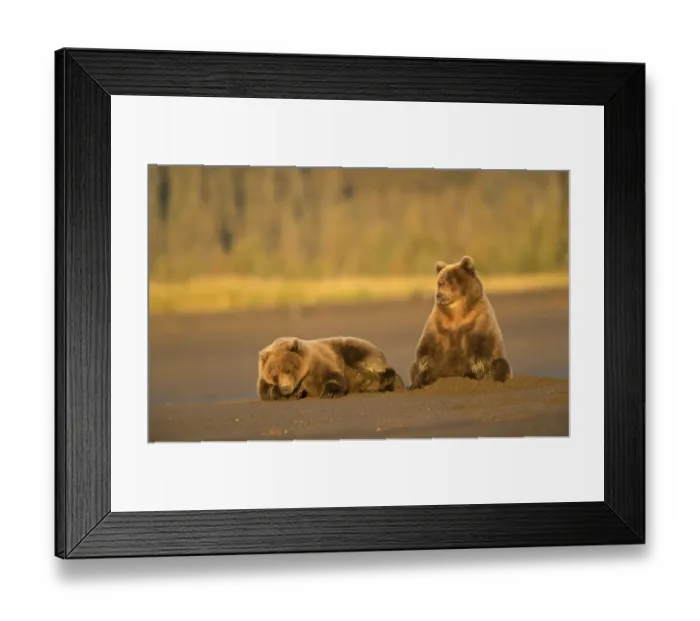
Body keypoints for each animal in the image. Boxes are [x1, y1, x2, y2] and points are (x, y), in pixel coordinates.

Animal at [257, 336, 405, 401]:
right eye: (275, 375)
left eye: (288, 370)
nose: (285, 388)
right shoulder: (263, 377)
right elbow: (265, 391)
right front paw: (292, 393)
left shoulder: (318, 362)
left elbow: (332, 375)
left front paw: (330, 393)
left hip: (355, 349)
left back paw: (387, 378)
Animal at [408, 255, 513, 390]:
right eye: (439, 283)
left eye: (451, 281)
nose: (439, 295)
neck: (456, 313)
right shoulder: (438, 322)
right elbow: (426, 346)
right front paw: (422, 369)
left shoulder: (479, 318)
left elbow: (483, 343)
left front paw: (477, 369)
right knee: (414, 367)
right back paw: (420, 381)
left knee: (501, 365)